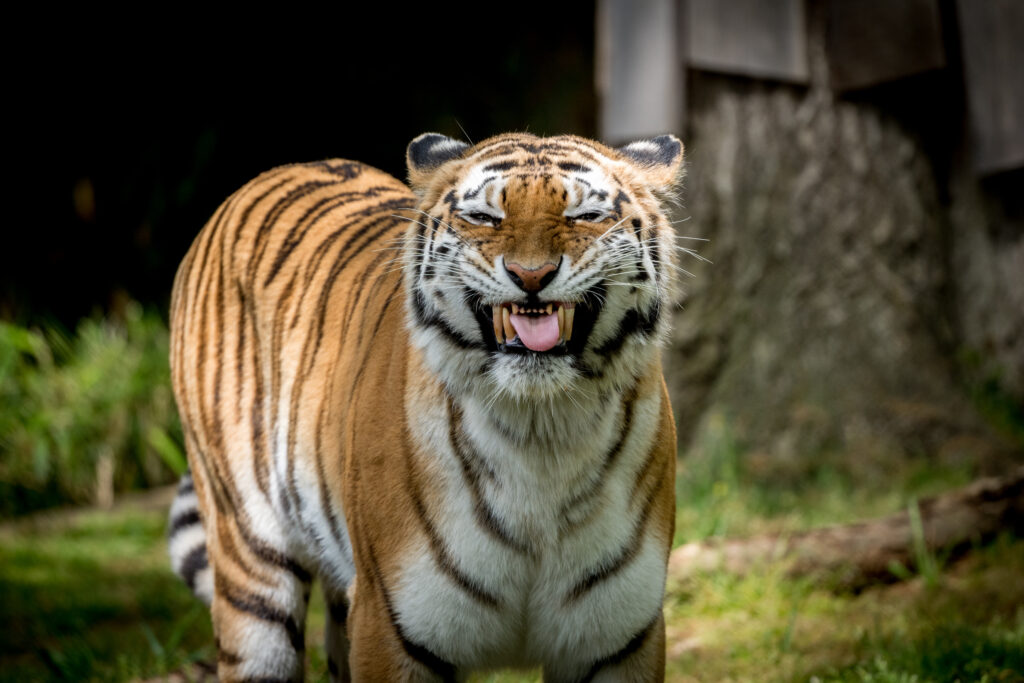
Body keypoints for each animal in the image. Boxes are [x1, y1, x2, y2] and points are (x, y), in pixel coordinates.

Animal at [167, 131, 684, 682]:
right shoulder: (390, 624)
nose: (531, 275)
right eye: (485, 217)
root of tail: (277, 171)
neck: (541, 434)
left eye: (584, 216)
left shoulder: (618, 638)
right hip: (251, 562)